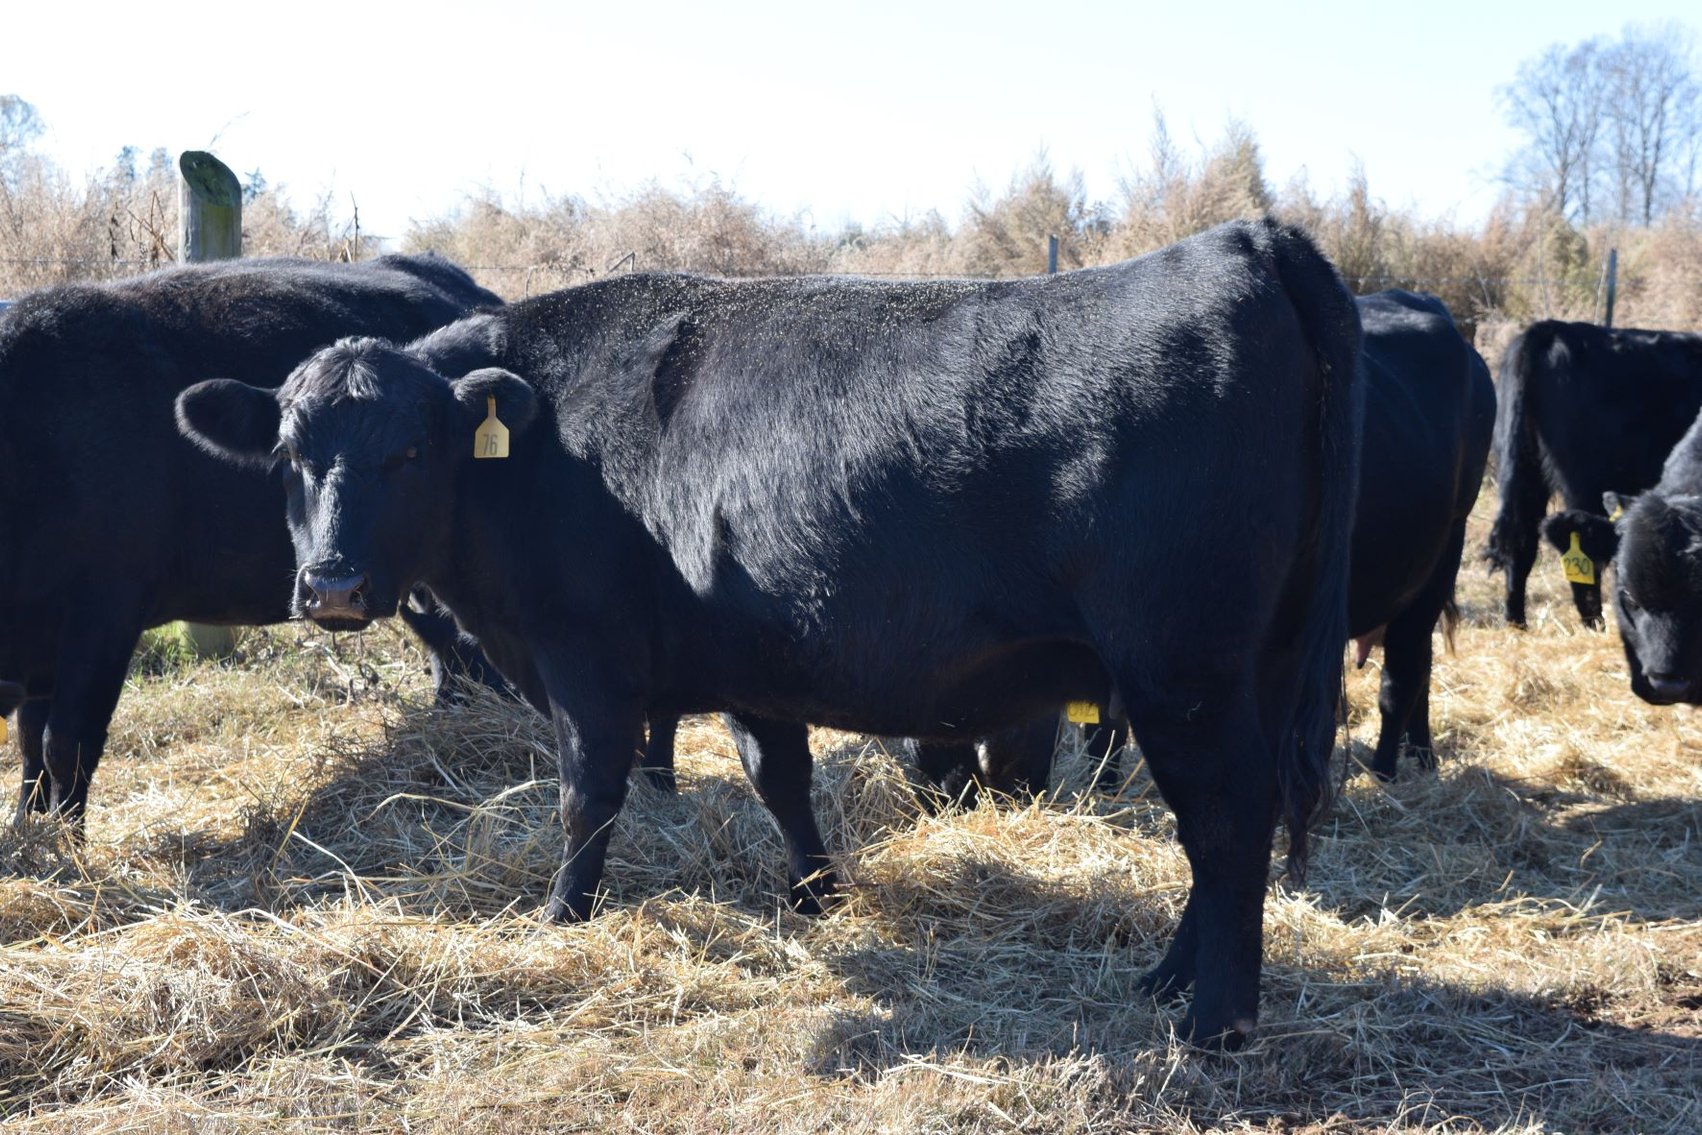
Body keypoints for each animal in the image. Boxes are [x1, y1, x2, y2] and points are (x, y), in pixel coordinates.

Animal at [0, 254, 505, 825]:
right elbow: (29, 742)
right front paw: (27, 825)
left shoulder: (105, 614)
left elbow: (65, 744)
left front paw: (68, 837)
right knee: (451, 651)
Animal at [177, 218, 1362, 1048]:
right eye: (289, 453)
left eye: (412, 451)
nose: (331, 583)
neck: (549, 446)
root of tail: (1242, 239)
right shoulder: (750, 655)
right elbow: (778, 775)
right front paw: (814, 896)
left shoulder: (586, 660)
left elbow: (585, 796)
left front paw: (562, 916)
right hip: (1242, 670)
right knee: (1229, 827)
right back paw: (1171, 978)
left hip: (1183, 671)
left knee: (1225, 819)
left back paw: (1213, 1018)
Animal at [1484, 320, 1702, 628]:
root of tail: (1551, 329)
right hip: (1582, 485)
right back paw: (1595, 624)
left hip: (1522, 470)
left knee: (1520, 543)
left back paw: (1517, 624)